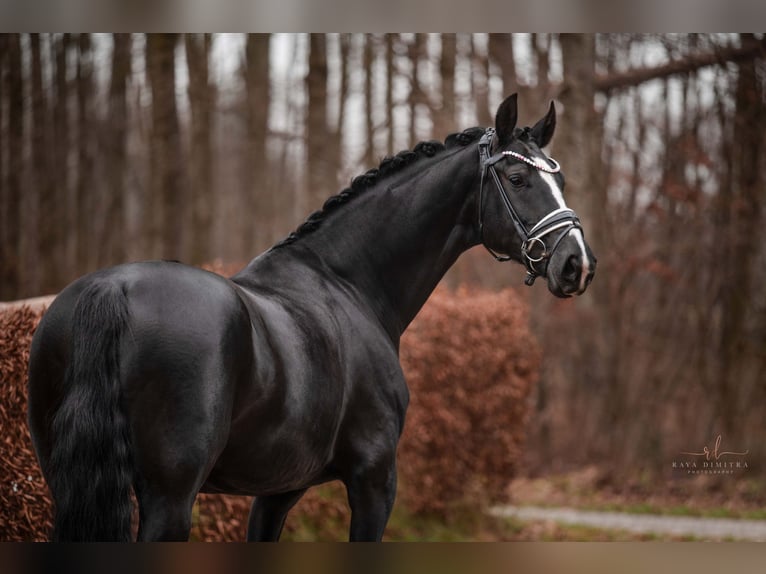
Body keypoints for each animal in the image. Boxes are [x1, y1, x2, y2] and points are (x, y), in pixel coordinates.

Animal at [27, 94, 596, 544]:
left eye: (563, 178)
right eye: (517, 177)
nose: (578, 264)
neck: (348, 283)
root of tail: (111, 288)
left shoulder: (278, 491)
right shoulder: (373, 480)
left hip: (69, 484)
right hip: (170, 500)